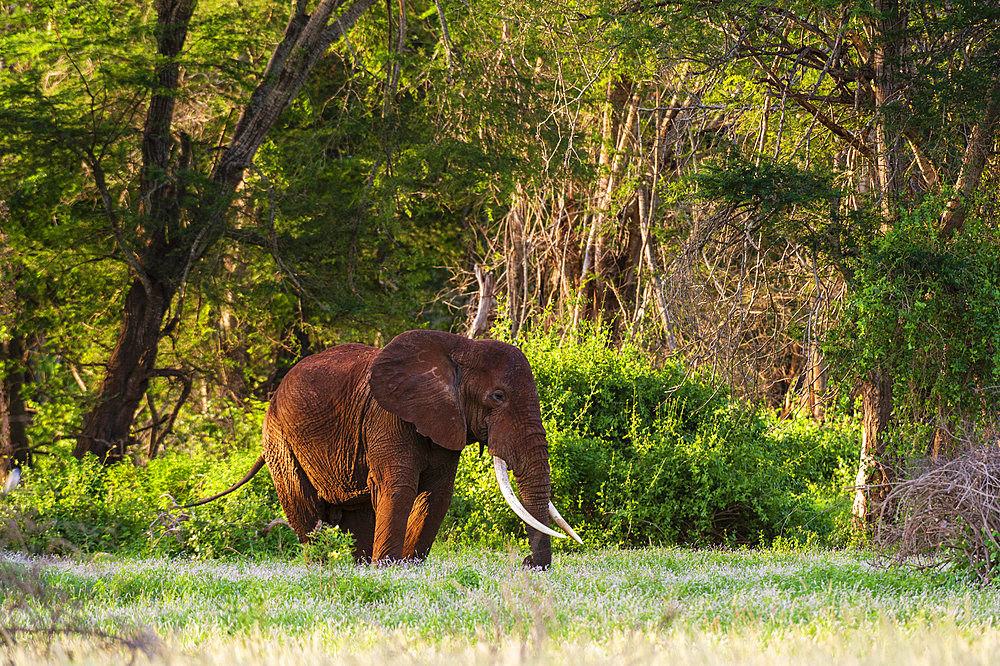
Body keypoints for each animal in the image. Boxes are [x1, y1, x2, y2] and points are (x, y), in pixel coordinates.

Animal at [187, 326, 580, 564]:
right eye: (497, 397)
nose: (527, 564)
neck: (458, 347)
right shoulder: (387, 418)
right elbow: (398, 488)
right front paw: (390, 569)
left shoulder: (444, 422)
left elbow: (436, 495)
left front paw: (407, 568)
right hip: (281, 442)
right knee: (306, 509)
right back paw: (322, 566)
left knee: (356, 516)